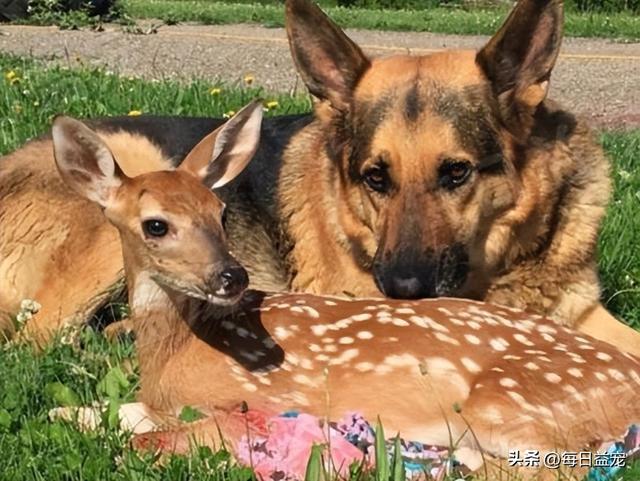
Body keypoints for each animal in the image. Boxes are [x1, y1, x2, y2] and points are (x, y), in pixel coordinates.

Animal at [0, 0, 636, 352]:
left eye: (457, 172)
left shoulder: (583, 315)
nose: (401, 289)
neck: (499, 268)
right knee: (43, 337)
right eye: (375, 177)